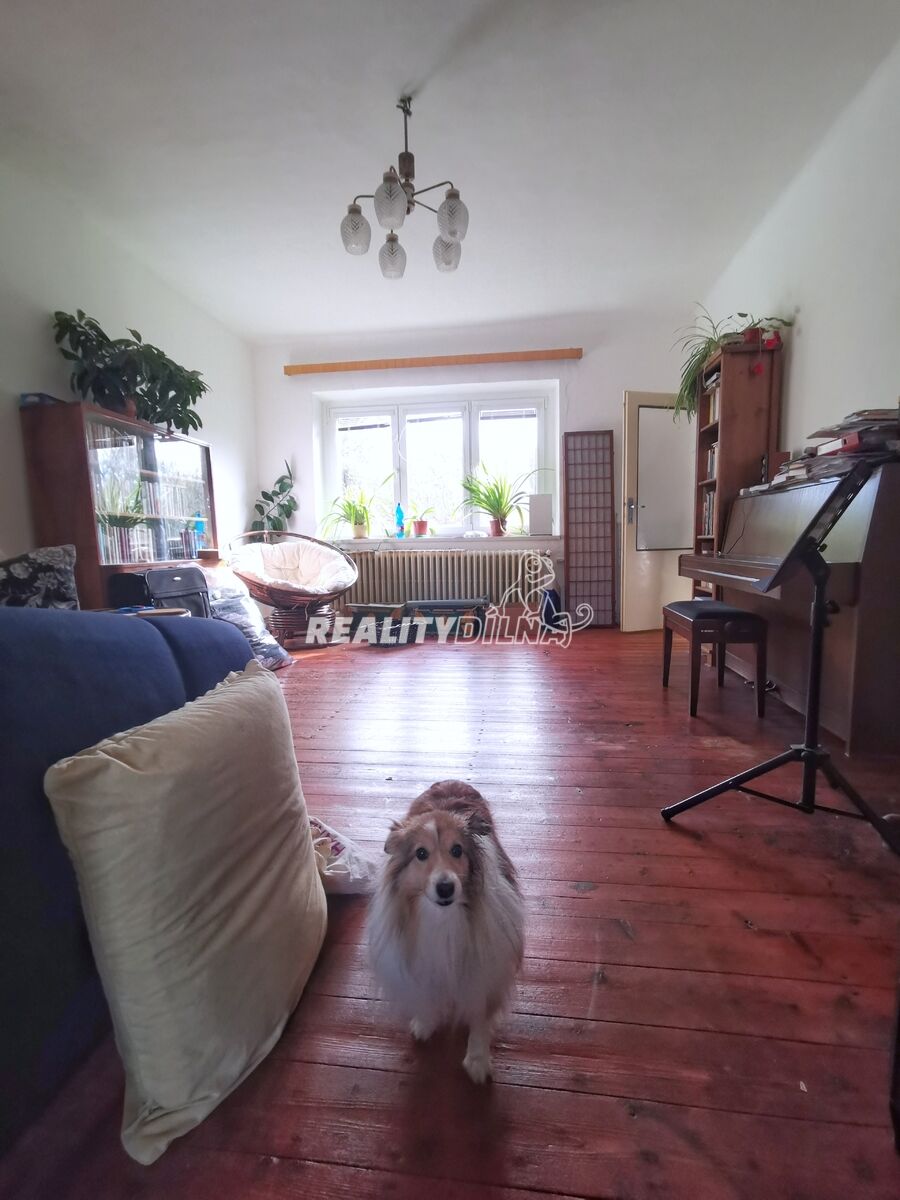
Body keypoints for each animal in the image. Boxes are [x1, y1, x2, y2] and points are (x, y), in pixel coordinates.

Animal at [366, 780, 524, 1083]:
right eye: (421, 853)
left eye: (457, 850)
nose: (445, 888)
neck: (442, 917)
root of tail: (452, 780)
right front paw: (424, 1023)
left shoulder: (485, 969)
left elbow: (480, 1015)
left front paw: (477, 1061)